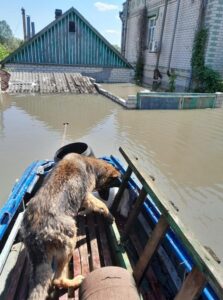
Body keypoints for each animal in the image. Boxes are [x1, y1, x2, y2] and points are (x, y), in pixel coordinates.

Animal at [20, 155, 120, 300]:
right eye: (111, 184)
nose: (108, 196)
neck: (90, 164)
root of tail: (35, 232)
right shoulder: (86, 196)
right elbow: (101, 204)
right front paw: (109, 215)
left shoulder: (84, 197)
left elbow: (91, 206)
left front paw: (85, 212)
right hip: (70, 240)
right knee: (56, 279)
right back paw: (74, 281)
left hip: (37, 261)